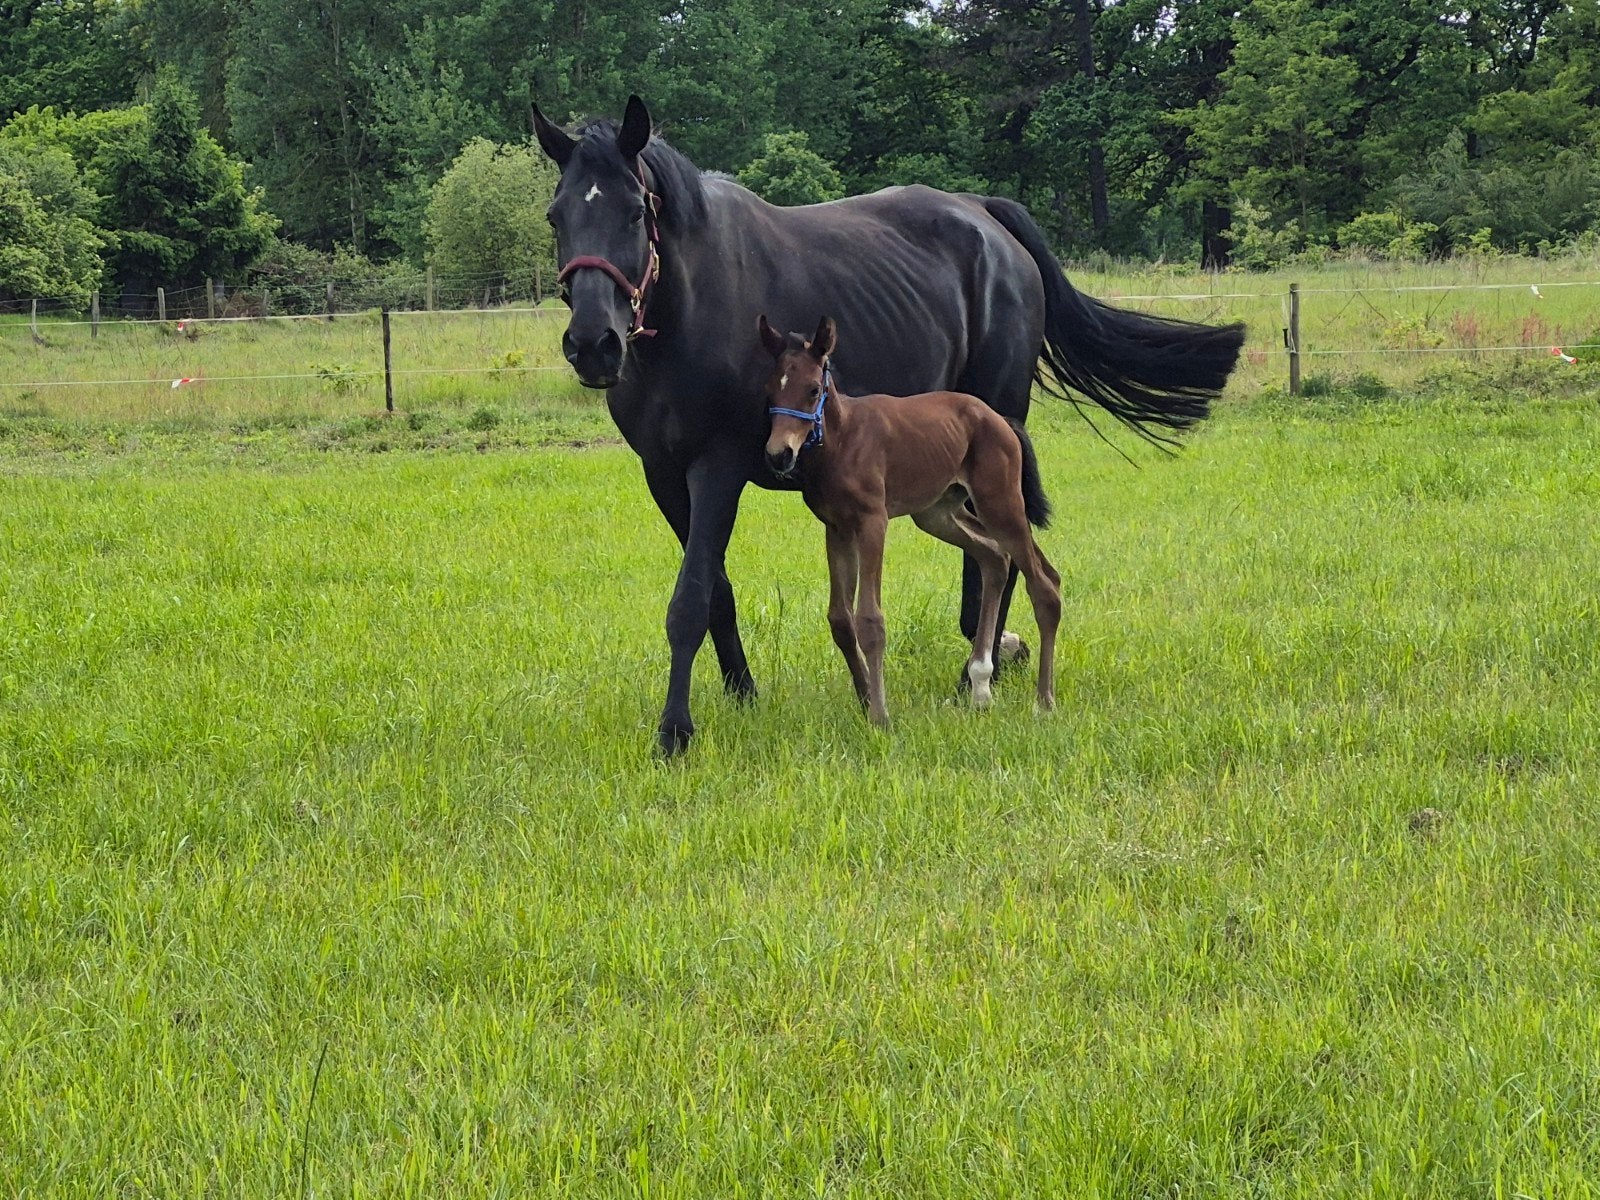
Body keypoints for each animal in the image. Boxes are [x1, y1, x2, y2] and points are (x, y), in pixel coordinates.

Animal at [760, 314, 1062, 724]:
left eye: (811, 389)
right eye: (770, 391)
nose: (779, 455)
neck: (843, 440)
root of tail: (1000, 420)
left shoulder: (872, 522)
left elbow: (870, 620)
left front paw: (880, 716)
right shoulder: (837, 527)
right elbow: (840, 619)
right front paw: (866, 699)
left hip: (999, 503)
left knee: (1043, 584)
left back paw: (1044, 701)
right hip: (937, 512)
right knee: (995, 557)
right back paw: (981, 688)